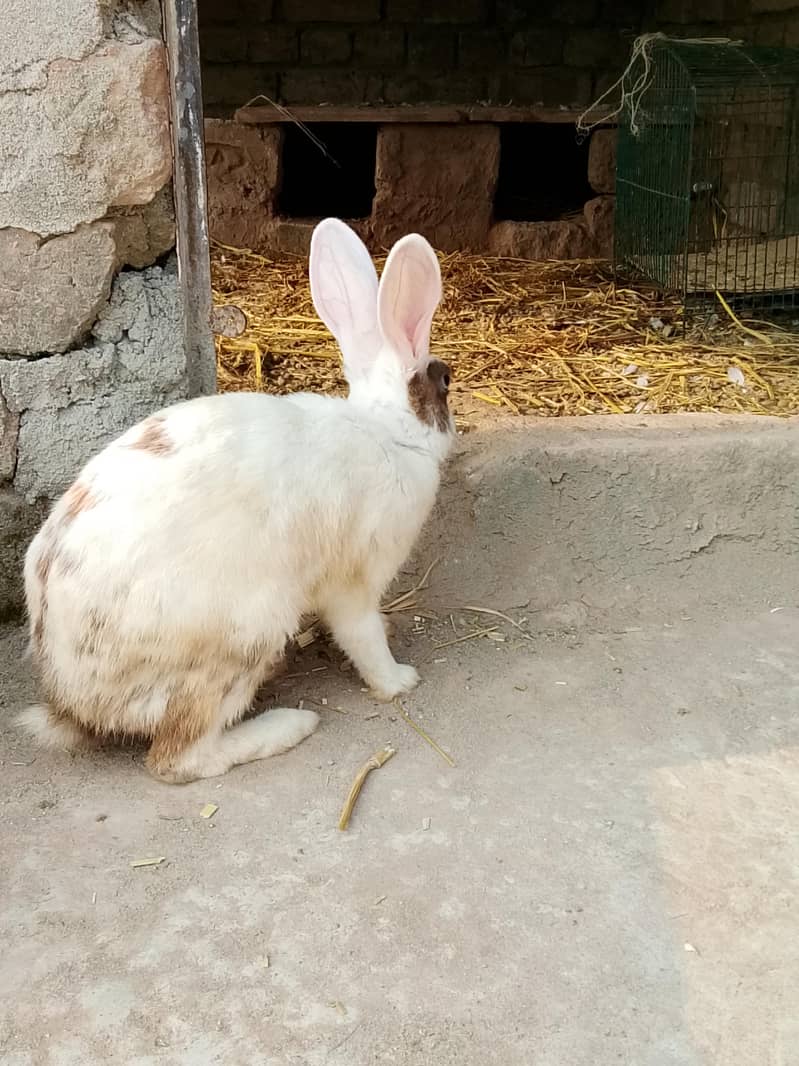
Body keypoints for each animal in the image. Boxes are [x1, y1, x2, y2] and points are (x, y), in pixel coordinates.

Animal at [19, 218, 454, 784]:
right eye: (445, 382)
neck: (387, 432)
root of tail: (71, 702)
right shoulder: (354, 580)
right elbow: (362, 636)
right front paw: (399, 680)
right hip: (243, 636)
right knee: (178, 757)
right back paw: (288, 725)